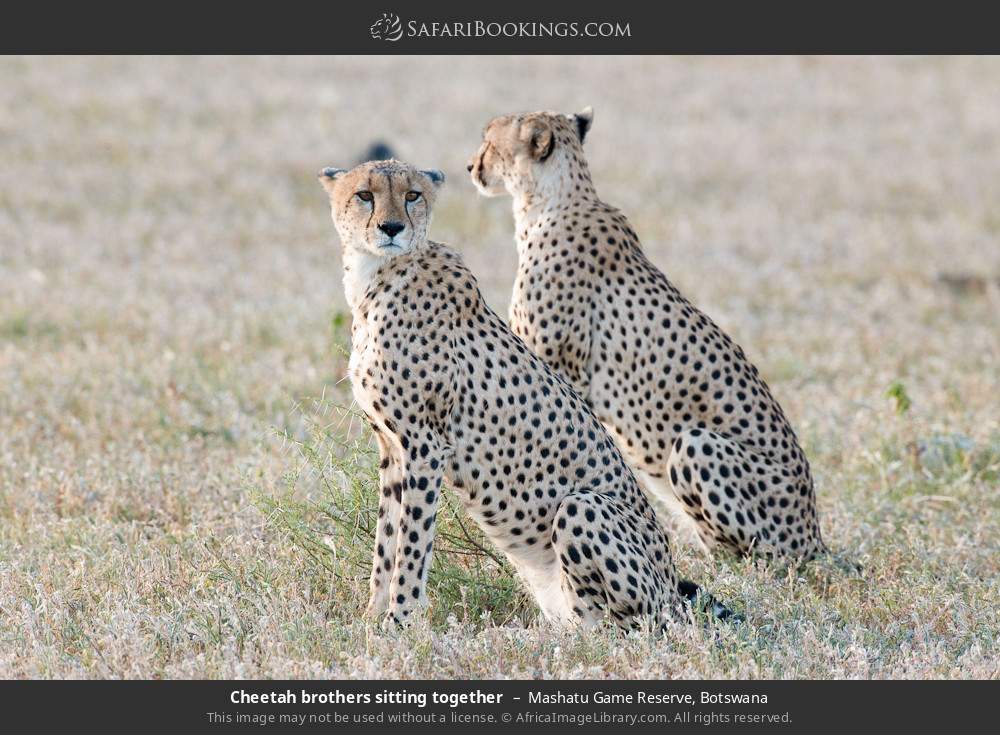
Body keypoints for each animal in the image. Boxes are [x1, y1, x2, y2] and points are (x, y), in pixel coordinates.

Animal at [318, 158, 736, 629]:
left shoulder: (425, 446)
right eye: (364, 195)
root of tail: (670, 590)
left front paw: (399, 621)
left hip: (581, 509)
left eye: (413, 195)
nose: (392, 228)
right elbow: (386, 540)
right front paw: (371, 617)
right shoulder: (392, 447)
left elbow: (411, 545)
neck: (375, 276)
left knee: (621, 625)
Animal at [468, 108, 825, 560]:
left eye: (489, 143)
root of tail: (815, 536)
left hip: (696, 445)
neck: (553, 200)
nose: (470, 167)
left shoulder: (558, 369)